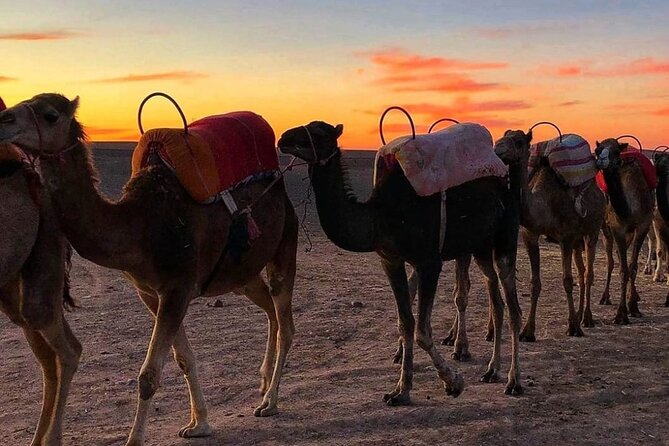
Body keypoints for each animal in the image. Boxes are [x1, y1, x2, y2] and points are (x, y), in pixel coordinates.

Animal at [278, 121, 524, 403]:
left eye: (318, 133)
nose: (283, 138)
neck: (380, 216)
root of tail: (504, 181)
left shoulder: (429, 262)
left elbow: (422, 332)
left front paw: (453, 382)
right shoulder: (390, 260)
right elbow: (406, 322)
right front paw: (400, 390)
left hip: (506, 234)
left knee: (512, 305)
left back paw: (514, 381)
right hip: (480, 246)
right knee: (496, 299)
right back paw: (492, 370)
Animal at [493, 129, 606, 339]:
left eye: (519, 142)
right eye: (504, 135)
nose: (498, 149)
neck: (544, 206)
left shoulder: (566, 238)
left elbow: (567, 281)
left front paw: (573, 328)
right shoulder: (530, 236)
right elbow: (534, 283)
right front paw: (528, 331)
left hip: (592, 231)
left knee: (588, 273)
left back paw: (586, 319)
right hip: (578, 241)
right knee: (582, 272)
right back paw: (578, 315)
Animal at [595, 139, 654, 324]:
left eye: (616, 152)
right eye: (598, 151)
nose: (601, 161)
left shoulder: (643, 226)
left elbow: (632, 267)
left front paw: (633, 307)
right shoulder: (617, 228)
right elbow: (623, 269)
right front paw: (621, 314)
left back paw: (634, 297)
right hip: (605, 229)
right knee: (611, 260)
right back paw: (605, 297)